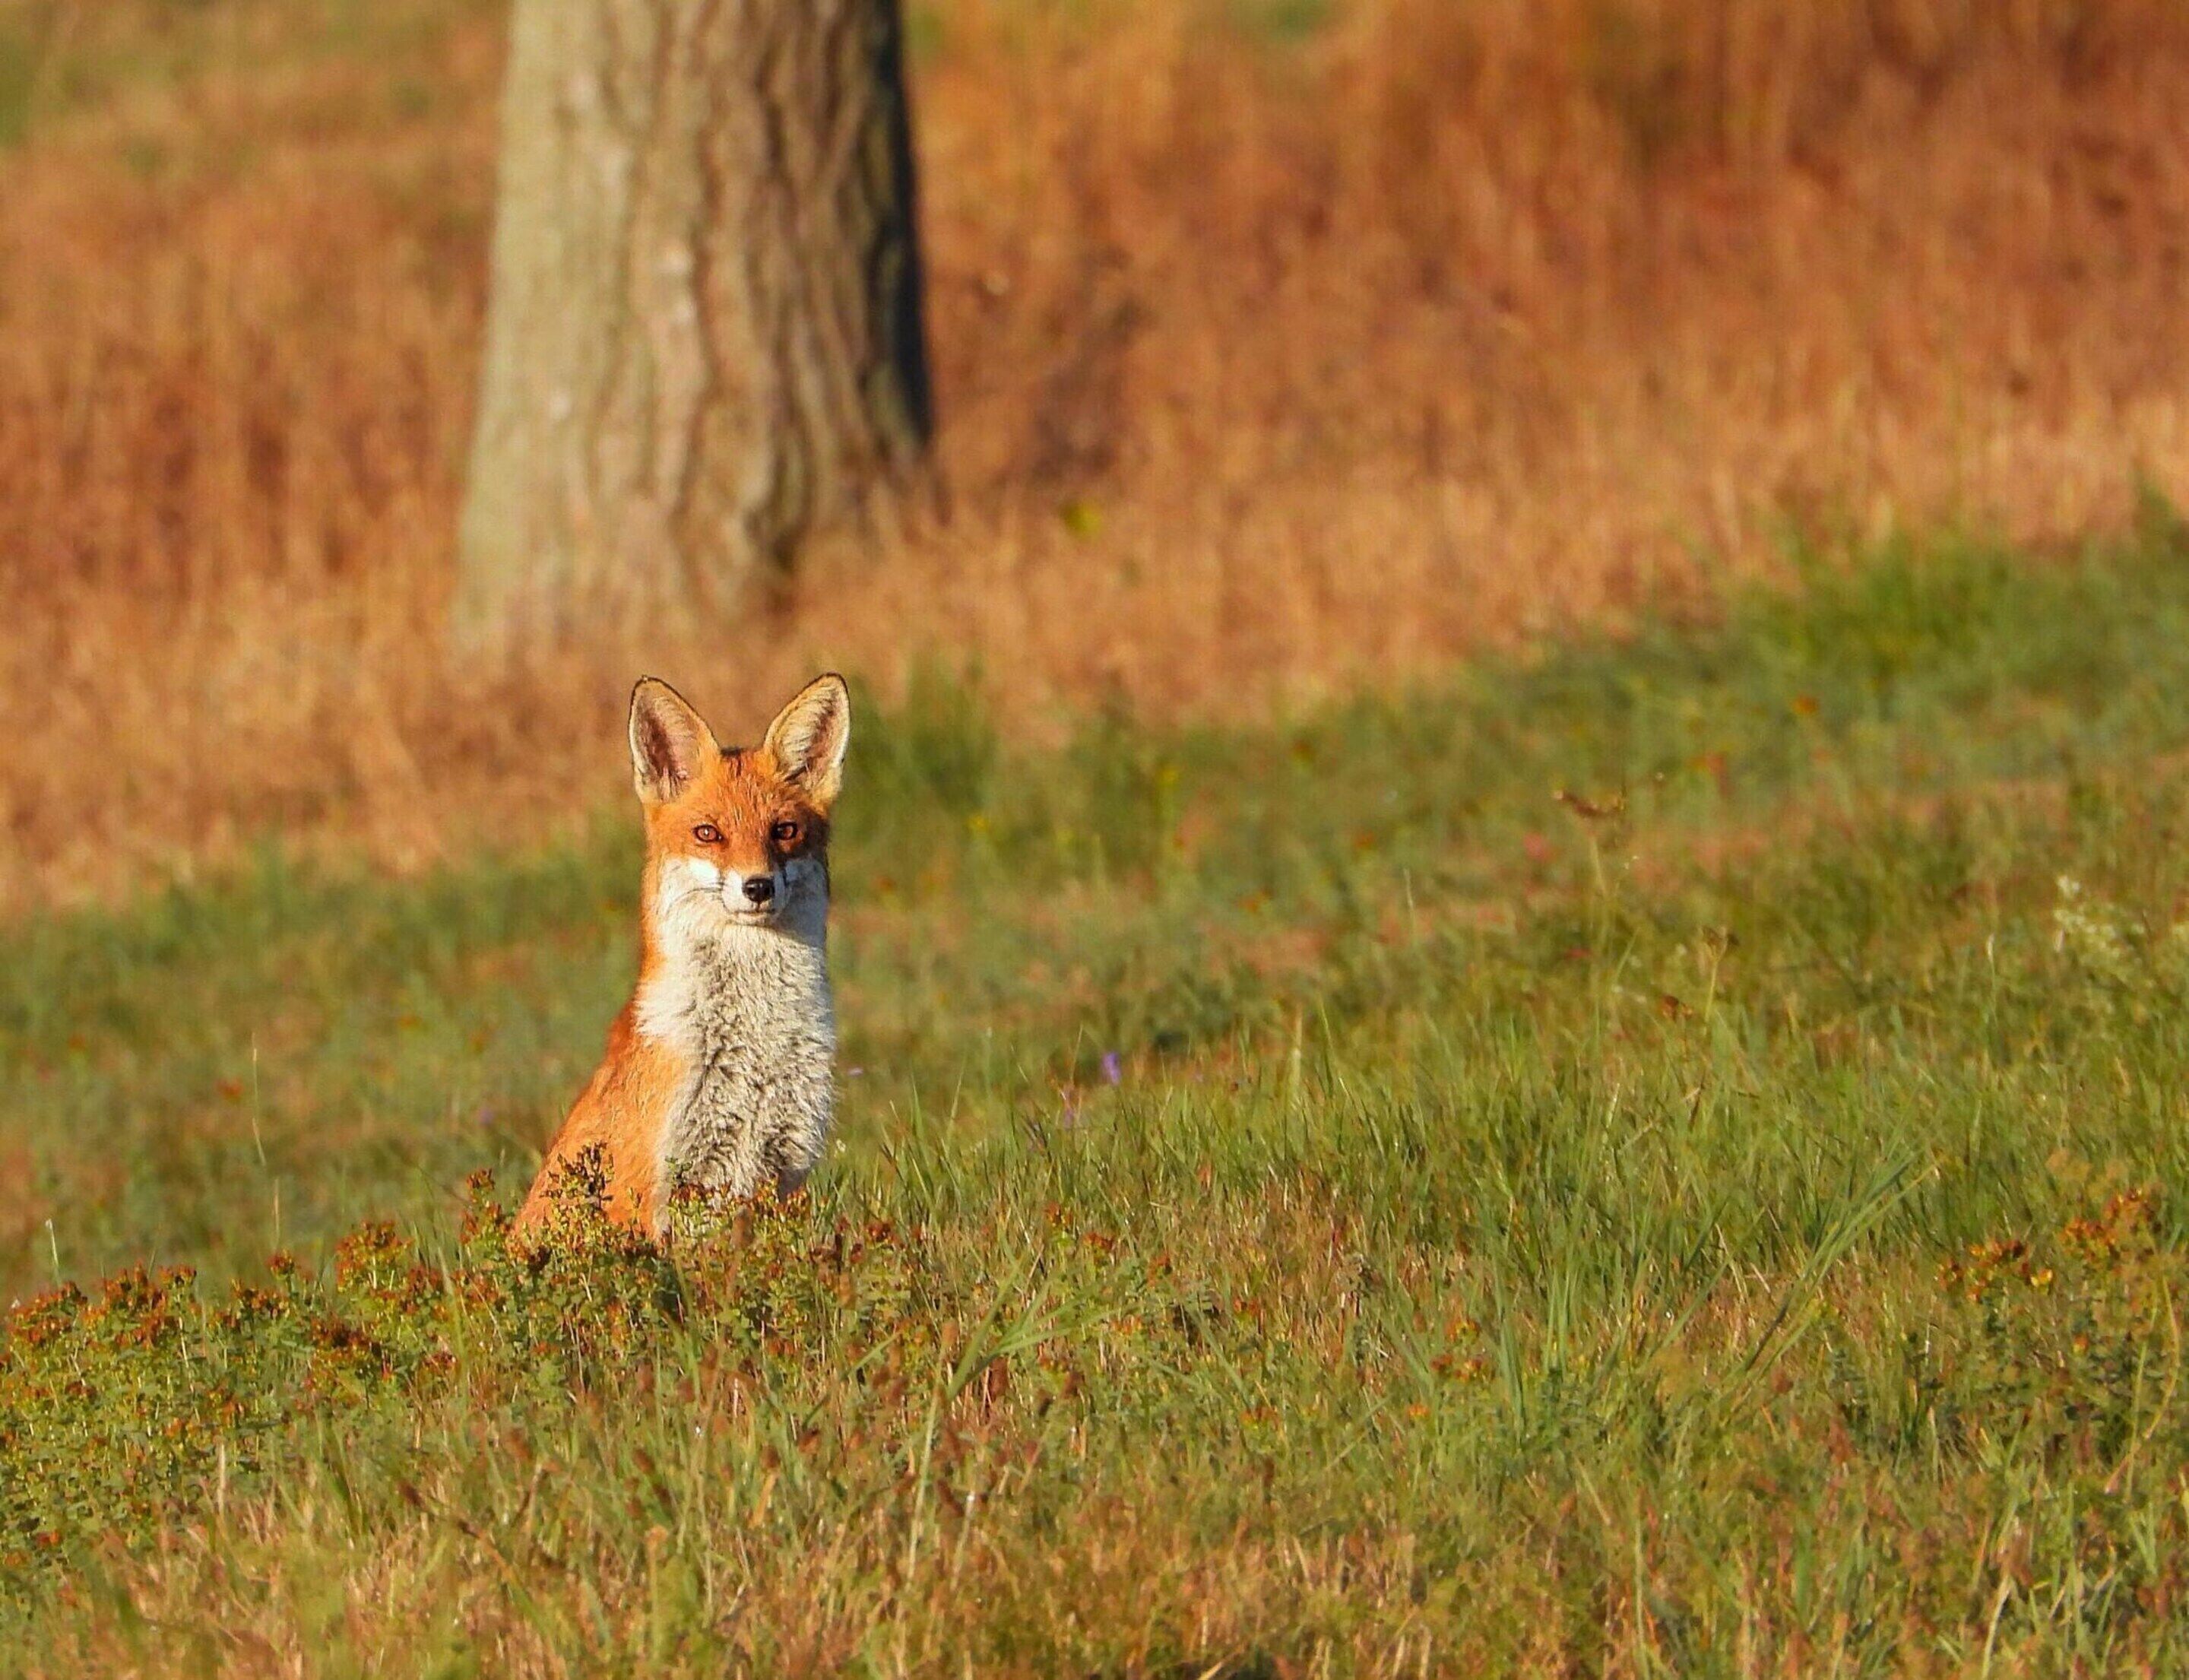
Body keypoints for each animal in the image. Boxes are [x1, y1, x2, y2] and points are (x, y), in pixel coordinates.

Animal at [514, 673, 851, 1243]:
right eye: (708, 834)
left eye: (784, 831)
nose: (758, 887)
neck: (754, 1044)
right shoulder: (649, 1189)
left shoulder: (783, 1169)